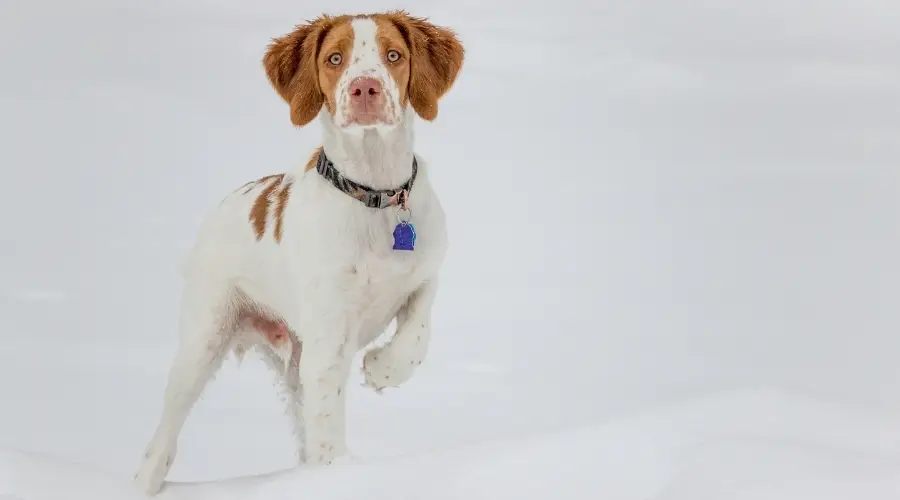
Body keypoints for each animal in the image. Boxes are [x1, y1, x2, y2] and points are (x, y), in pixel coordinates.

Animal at [137, 9, 468, 494]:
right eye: (334, 58)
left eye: (394, 55)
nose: (364, 89)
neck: (375, 196)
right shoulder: (329, 339)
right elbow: (328, 419)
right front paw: (338, 476)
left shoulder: (424, 273)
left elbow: (417, 335)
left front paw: (383, 368)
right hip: (205, 336)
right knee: (162, 436)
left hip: (290, 360)